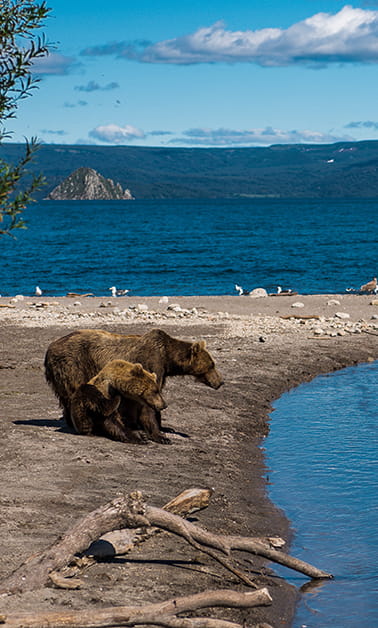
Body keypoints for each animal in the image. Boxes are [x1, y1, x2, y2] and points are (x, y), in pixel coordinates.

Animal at [44, 328, 223, 442]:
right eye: (212, 365)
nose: (220, 382)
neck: (167, 359)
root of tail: (49, 349)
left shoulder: (160, 372)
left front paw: (165, 428)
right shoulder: (152, 363)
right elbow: (147, 405)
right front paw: (159, 435)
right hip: (73, 365)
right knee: (76, 392)